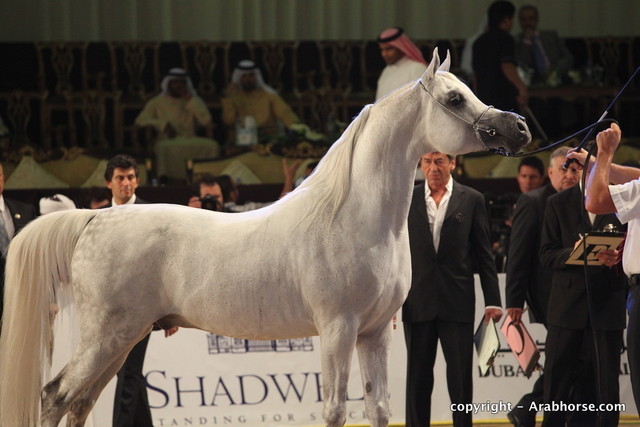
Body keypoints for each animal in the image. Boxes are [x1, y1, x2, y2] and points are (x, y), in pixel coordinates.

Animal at [0, 49, 530, 427]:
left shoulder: (375, 333)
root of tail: (93, 220)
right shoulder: (337, 330)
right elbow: (335, 410)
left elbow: (378, 410)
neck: (353, 218)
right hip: (106, 338)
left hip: (120, 341)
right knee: (55, 396)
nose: (520, 128)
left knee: (79, 403)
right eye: (455, 99)